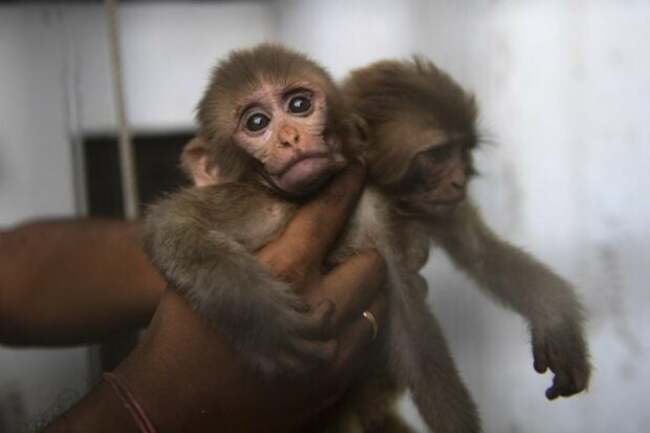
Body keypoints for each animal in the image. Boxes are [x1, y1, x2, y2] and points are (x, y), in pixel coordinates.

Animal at [143, 44, 481, 433]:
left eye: (299, 105)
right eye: (256, 123)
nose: (290, 137)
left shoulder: (373, 212)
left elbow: (413, 331)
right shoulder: (252, 203)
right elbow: (170, 223)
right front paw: (262, 315)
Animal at [341, 57, 591, 404]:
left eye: (463, 151)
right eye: (437, 154)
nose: (459, 180)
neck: (394, 201)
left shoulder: (439, 207)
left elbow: (480, 252)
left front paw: (557, 323)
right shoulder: (363, 211)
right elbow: (412, 333)